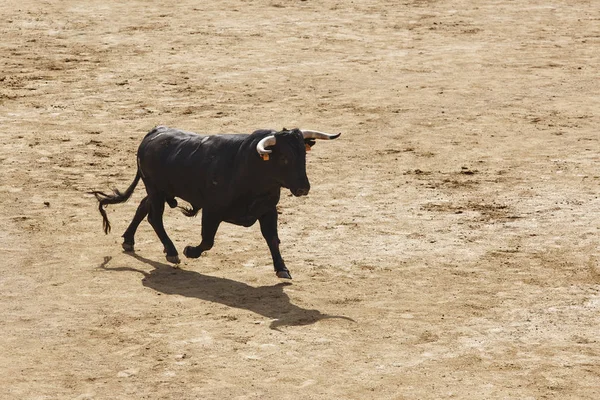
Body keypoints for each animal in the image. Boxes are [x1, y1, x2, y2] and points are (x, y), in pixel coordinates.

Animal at [91, 126, 340, 280]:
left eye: (303, 156)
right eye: (285, 158)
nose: (303, 188)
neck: (250, 169)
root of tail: (155, 131)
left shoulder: (268, 211)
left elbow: (272, 239)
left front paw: (282, 269)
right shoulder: (212, 211)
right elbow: (207, 241)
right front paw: (190, 251)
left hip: (158, 191)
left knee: (143, 206)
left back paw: (128, 240)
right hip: (155, 189)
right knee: (154, 217)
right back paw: (172, 251)